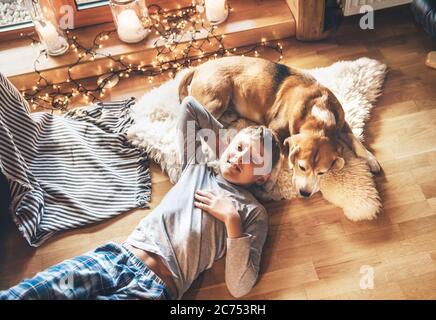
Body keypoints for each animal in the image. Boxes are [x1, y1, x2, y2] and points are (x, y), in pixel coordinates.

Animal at [179, 57, 380, 198]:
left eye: (322, 172)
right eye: (302, 167)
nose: (305, 194)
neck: (319, 117)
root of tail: (199, 67)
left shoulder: (342, 124)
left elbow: (356, 141)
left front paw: (370, 159)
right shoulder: (274, 129)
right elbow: (279, 159)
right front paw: (271, 182)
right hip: (216, 99)